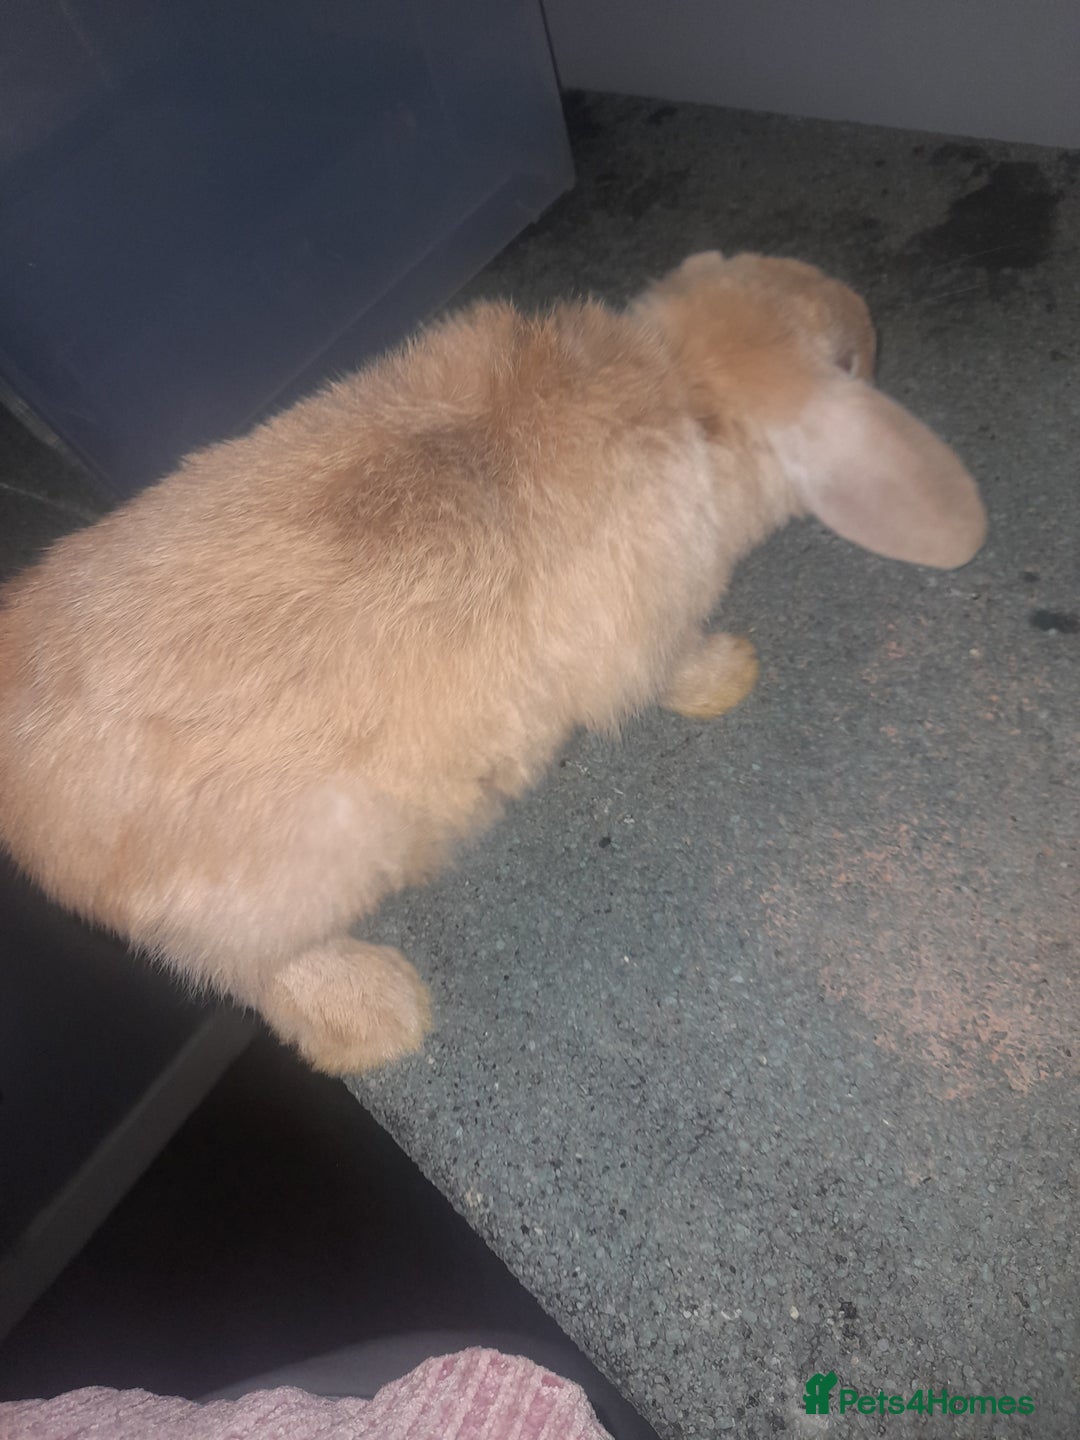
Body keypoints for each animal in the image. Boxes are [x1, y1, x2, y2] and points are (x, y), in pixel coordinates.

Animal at [0, 252, 986, 1074]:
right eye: (846, 359)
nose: (864, 316)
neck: (679, 386)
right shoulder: (645, 633)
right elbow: (671, 670)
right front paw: (731, 675)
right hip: (296, 874)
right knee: (255, 970)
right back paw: (386, 1016)